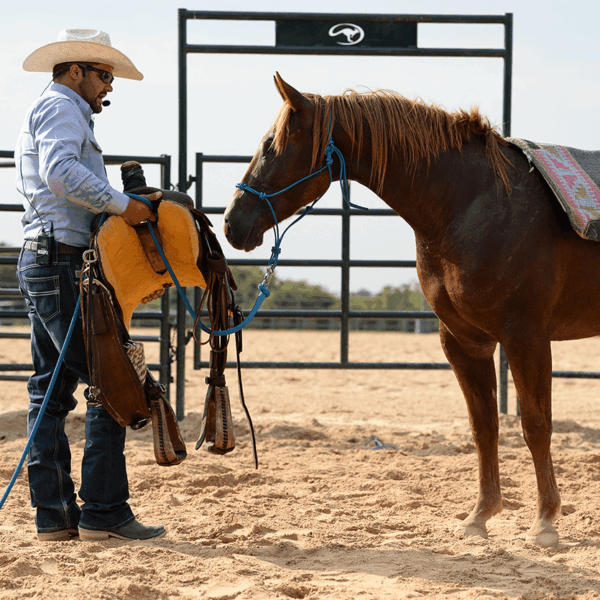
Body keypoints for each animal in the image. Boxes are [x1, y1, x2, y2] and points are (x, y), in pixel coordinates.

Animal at [223, 73, 600, 547]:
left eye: (272, 146)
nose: (231, 223)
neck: (474, 203)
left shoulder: (526, 337)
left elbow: (535, 425)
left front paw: (546, 521)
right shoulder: (465, 341)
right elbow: (483, 427)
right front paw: (479, 516)